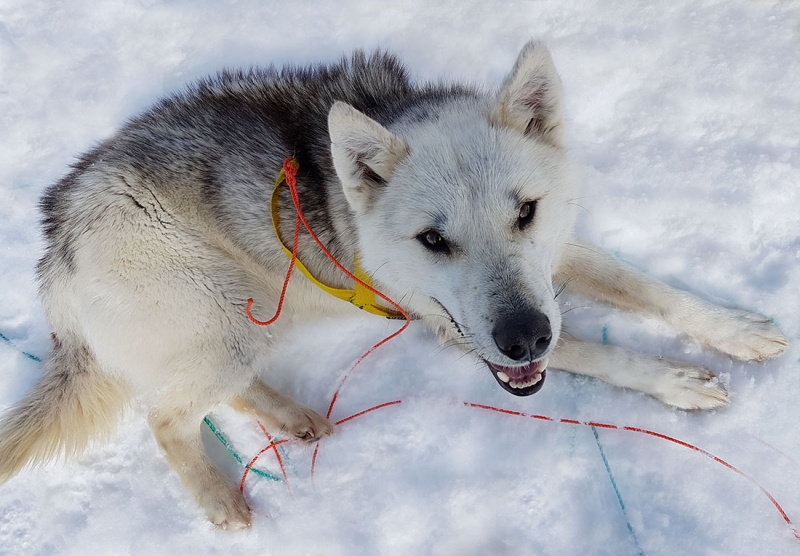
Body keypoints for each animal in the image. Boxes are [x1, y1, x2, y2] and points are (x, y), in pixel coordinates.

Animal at [0, 43, 788, 528]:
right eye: (433, 240)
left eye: (525, 212)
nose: (524, 337)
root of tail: (55, 244)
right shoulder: (459, 331)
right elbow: (604, 353)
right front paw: (676, 381)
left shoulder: (553, 261)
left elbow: (652, 290)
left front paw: (733, 330)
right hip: (219, 322)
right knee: (165, 417)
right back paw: (220, 498)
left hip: (244, 324)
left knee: (219, 392)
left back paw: (293, 417)